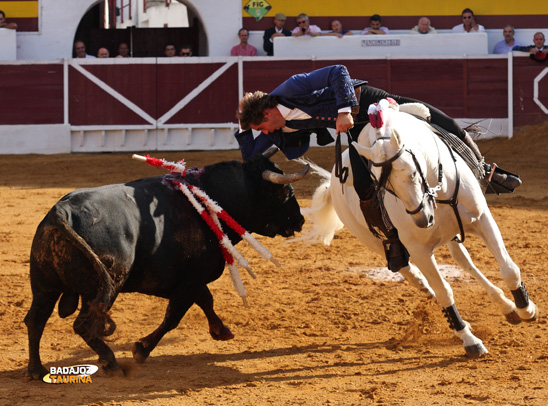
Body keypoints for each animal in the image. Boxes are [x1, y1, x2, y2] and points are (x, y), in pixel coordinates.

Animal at [25, 151, 308, 380]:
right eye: (286, 193)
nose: (300, 220)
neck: (212, 195)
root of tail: (60, 213)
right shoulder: (190, 278)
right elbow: (175, 315)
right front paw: (141, 349)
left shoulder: (191, 278)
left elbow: (205, 300)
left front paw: (221, 330)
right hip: (106, 286)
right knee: (83, 325)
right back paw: (111, 363)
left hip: (44, 285)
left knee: (36, 320)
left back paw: (36, 370)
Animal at [306, 100, 536, 356]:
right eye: (382, 185)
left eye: (412, 172)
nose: (423, 220)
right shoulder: (419, 250)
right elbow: (444, 291)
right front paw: (470, 341)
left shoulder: (482, 219)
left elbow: (508, 268)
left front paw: (526, 308)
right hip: (376, 242)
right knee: (414, 276)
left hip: (452, 234)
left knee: (464, 262)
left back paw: (506, 307)